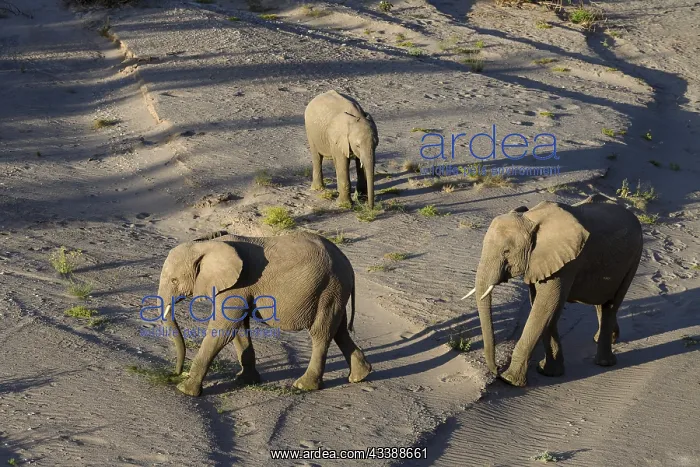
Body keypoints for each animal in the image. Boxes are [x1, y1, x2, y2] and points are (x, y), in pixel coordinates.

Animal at [154, 230, 372, 396]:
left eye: (174, 280)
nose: (175, 373)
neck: (206, 245)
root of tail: (348, 264)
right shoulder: (238, 289)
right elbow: (239, 330)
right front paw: (244, 381)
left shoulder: (237, 285)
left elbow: (223, 330)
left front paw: (185, 390)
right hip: (336, 291)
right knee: (339, 330)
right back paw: (360, 376)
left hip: (329, 288)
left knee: (321, 333)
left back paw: (304, 386)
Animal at [461, 195, 643, 387]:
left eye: (506, 251)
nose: (496, 370)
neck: (531, 218)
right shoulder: (538, 261)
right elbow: (545, 308)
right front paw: (549, 372)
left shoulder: (567, 262)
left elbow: (545, 306)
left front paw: (509, 380)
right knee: (602, 304)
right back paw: (608, 338)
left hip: (634, 258)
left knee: (611, 305)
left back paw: (604, 362)